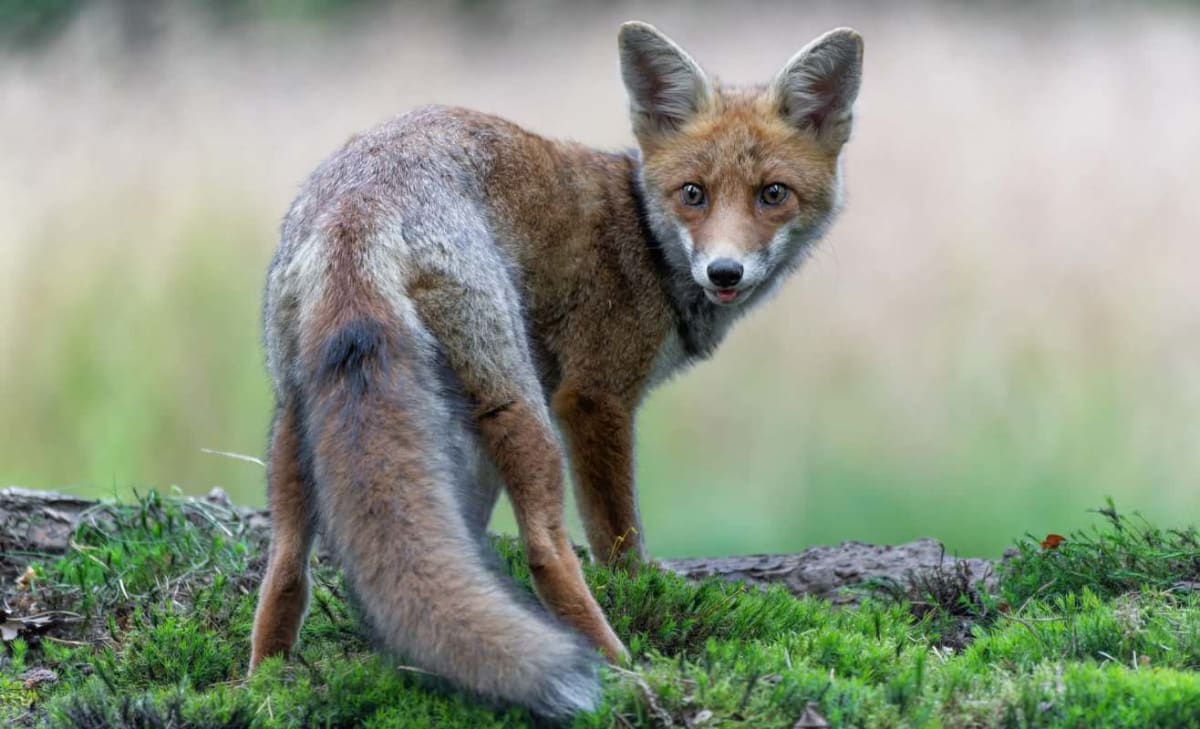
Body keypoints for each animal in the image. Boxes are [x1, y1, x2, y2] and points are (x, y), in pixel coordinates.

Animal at [249, 20, 863, 719]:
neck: (645, 241)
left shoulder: (475, 441)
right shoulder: (593, 398)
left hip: (301, 415)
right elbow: (618, 540)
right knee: (547, 549)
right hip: (516, 404)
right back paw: (620, 667)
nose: (724, 272)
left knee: (285, 564)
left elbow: (454, 545)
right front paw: (637, 595)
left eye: (772, 194)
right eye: (694, 194)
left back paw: (263, 683)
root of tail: (361, 201)